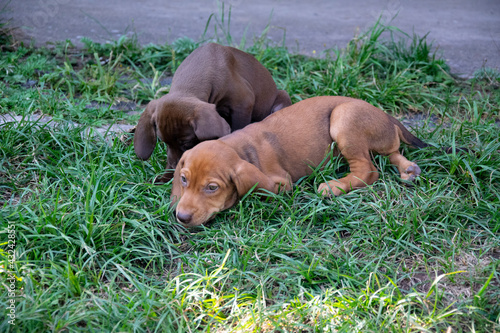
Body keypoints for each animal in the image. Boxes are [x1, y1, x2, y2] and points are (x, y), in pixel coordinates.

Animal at [134, 42, 290, 182]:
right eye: (164, 142)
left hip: (281, 99)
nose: (173, 168)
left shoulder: (243, 103)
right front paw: (164, 178)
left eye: (186, 143)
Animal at [171, 94, 430, 227]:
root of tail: (387, 116)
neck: (239, 148)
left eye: (212, 187)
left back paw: (333, 187)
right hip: (378, 137)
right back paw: (408, 169)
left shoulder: (280, 183)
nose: (181, 217)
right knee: (391, 151)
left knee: (368, 170)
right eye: (183, 180)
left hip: (344, 117)